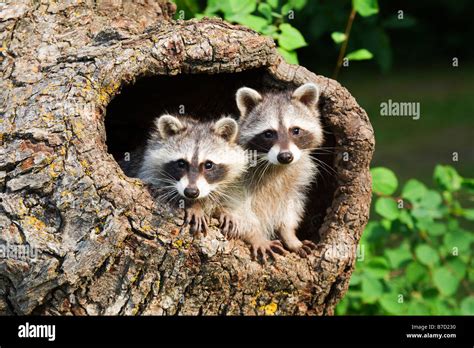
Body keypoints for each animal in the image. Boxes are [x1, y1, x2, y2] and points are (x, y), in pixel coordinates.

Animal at [229, 83, 324, 260]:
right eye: (268, 133)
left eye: (295, 130)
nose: (285, 156)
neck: (277, 167)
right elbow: (237, 209)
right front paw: (256, 236)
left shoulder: (297, 179)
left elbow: (289, 208)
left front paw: (290, 236)